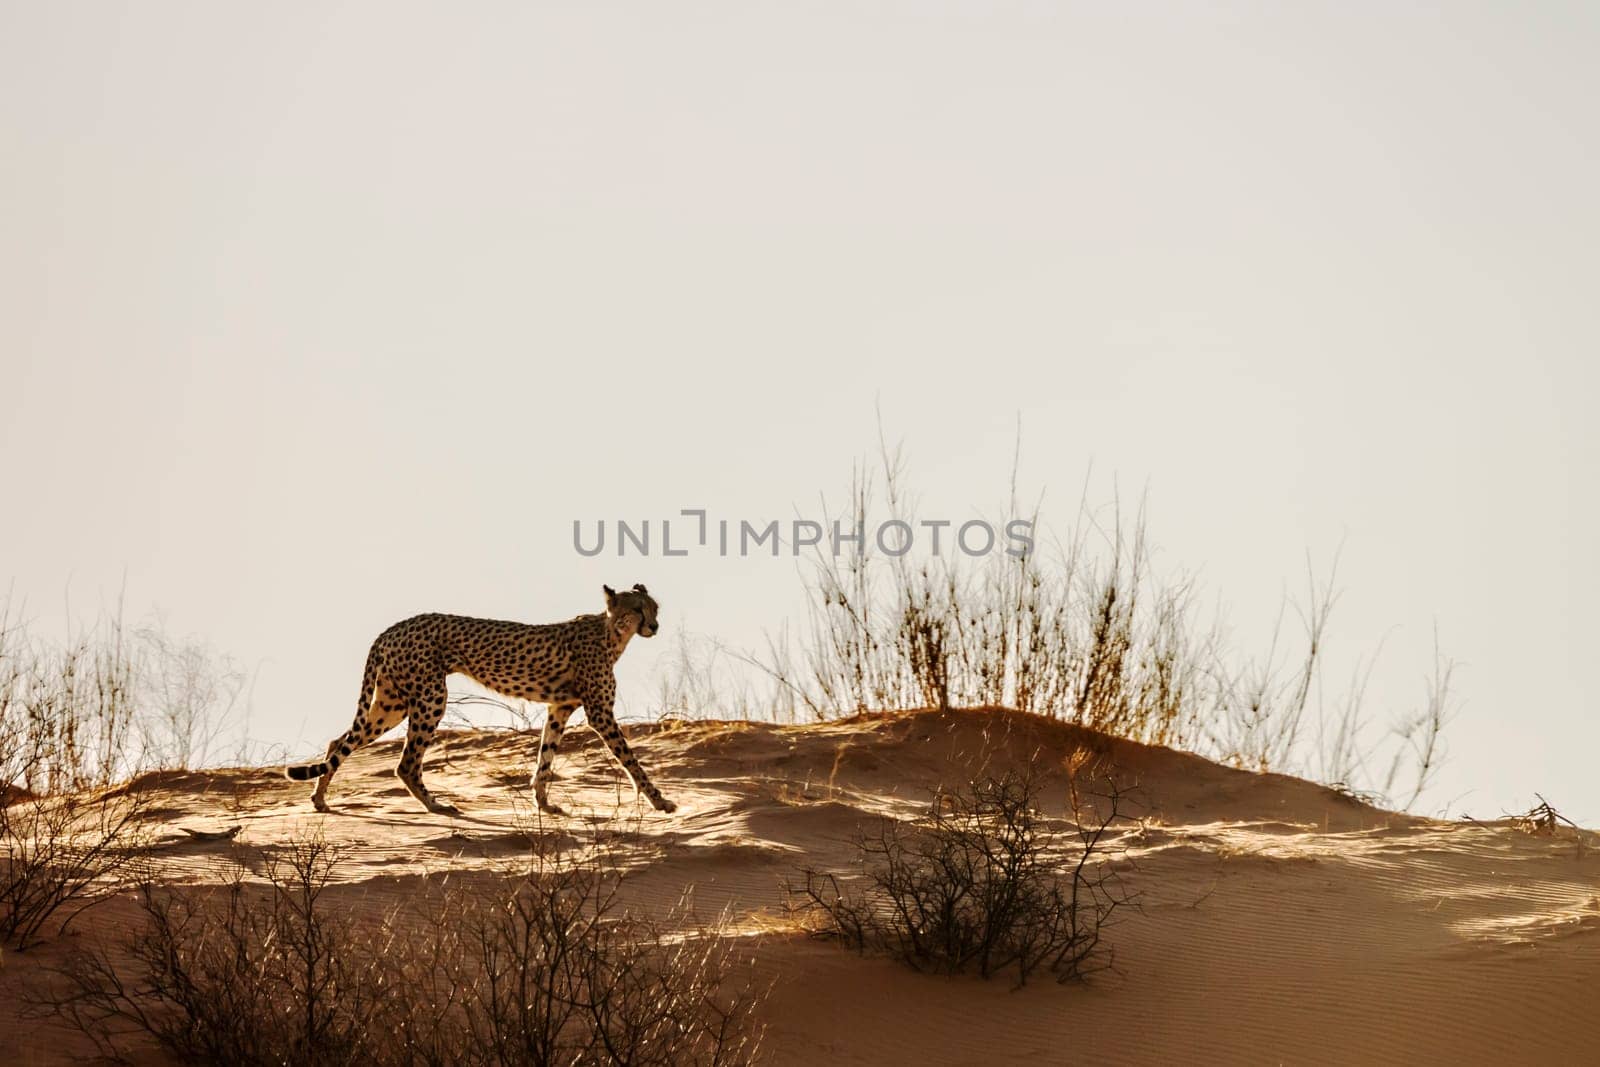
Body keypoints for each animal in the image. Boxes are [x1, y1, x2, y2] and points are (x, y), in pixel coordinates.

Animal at [288, 585, 675, 819]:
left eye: (654, 607)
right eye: (637, 609)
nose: (655, 626)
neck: (612, 633)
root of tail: (392, 628)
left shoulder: (560, 708)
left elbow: (545, 758)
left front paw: (544, 804)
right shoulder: (599, 713)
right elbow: (631, 761)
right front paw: (660, 801)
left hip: (393, 702)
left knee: (340, 742)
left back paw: (320, 799)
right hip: (430, 698)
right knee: (405, 763)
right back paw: (437, 806)